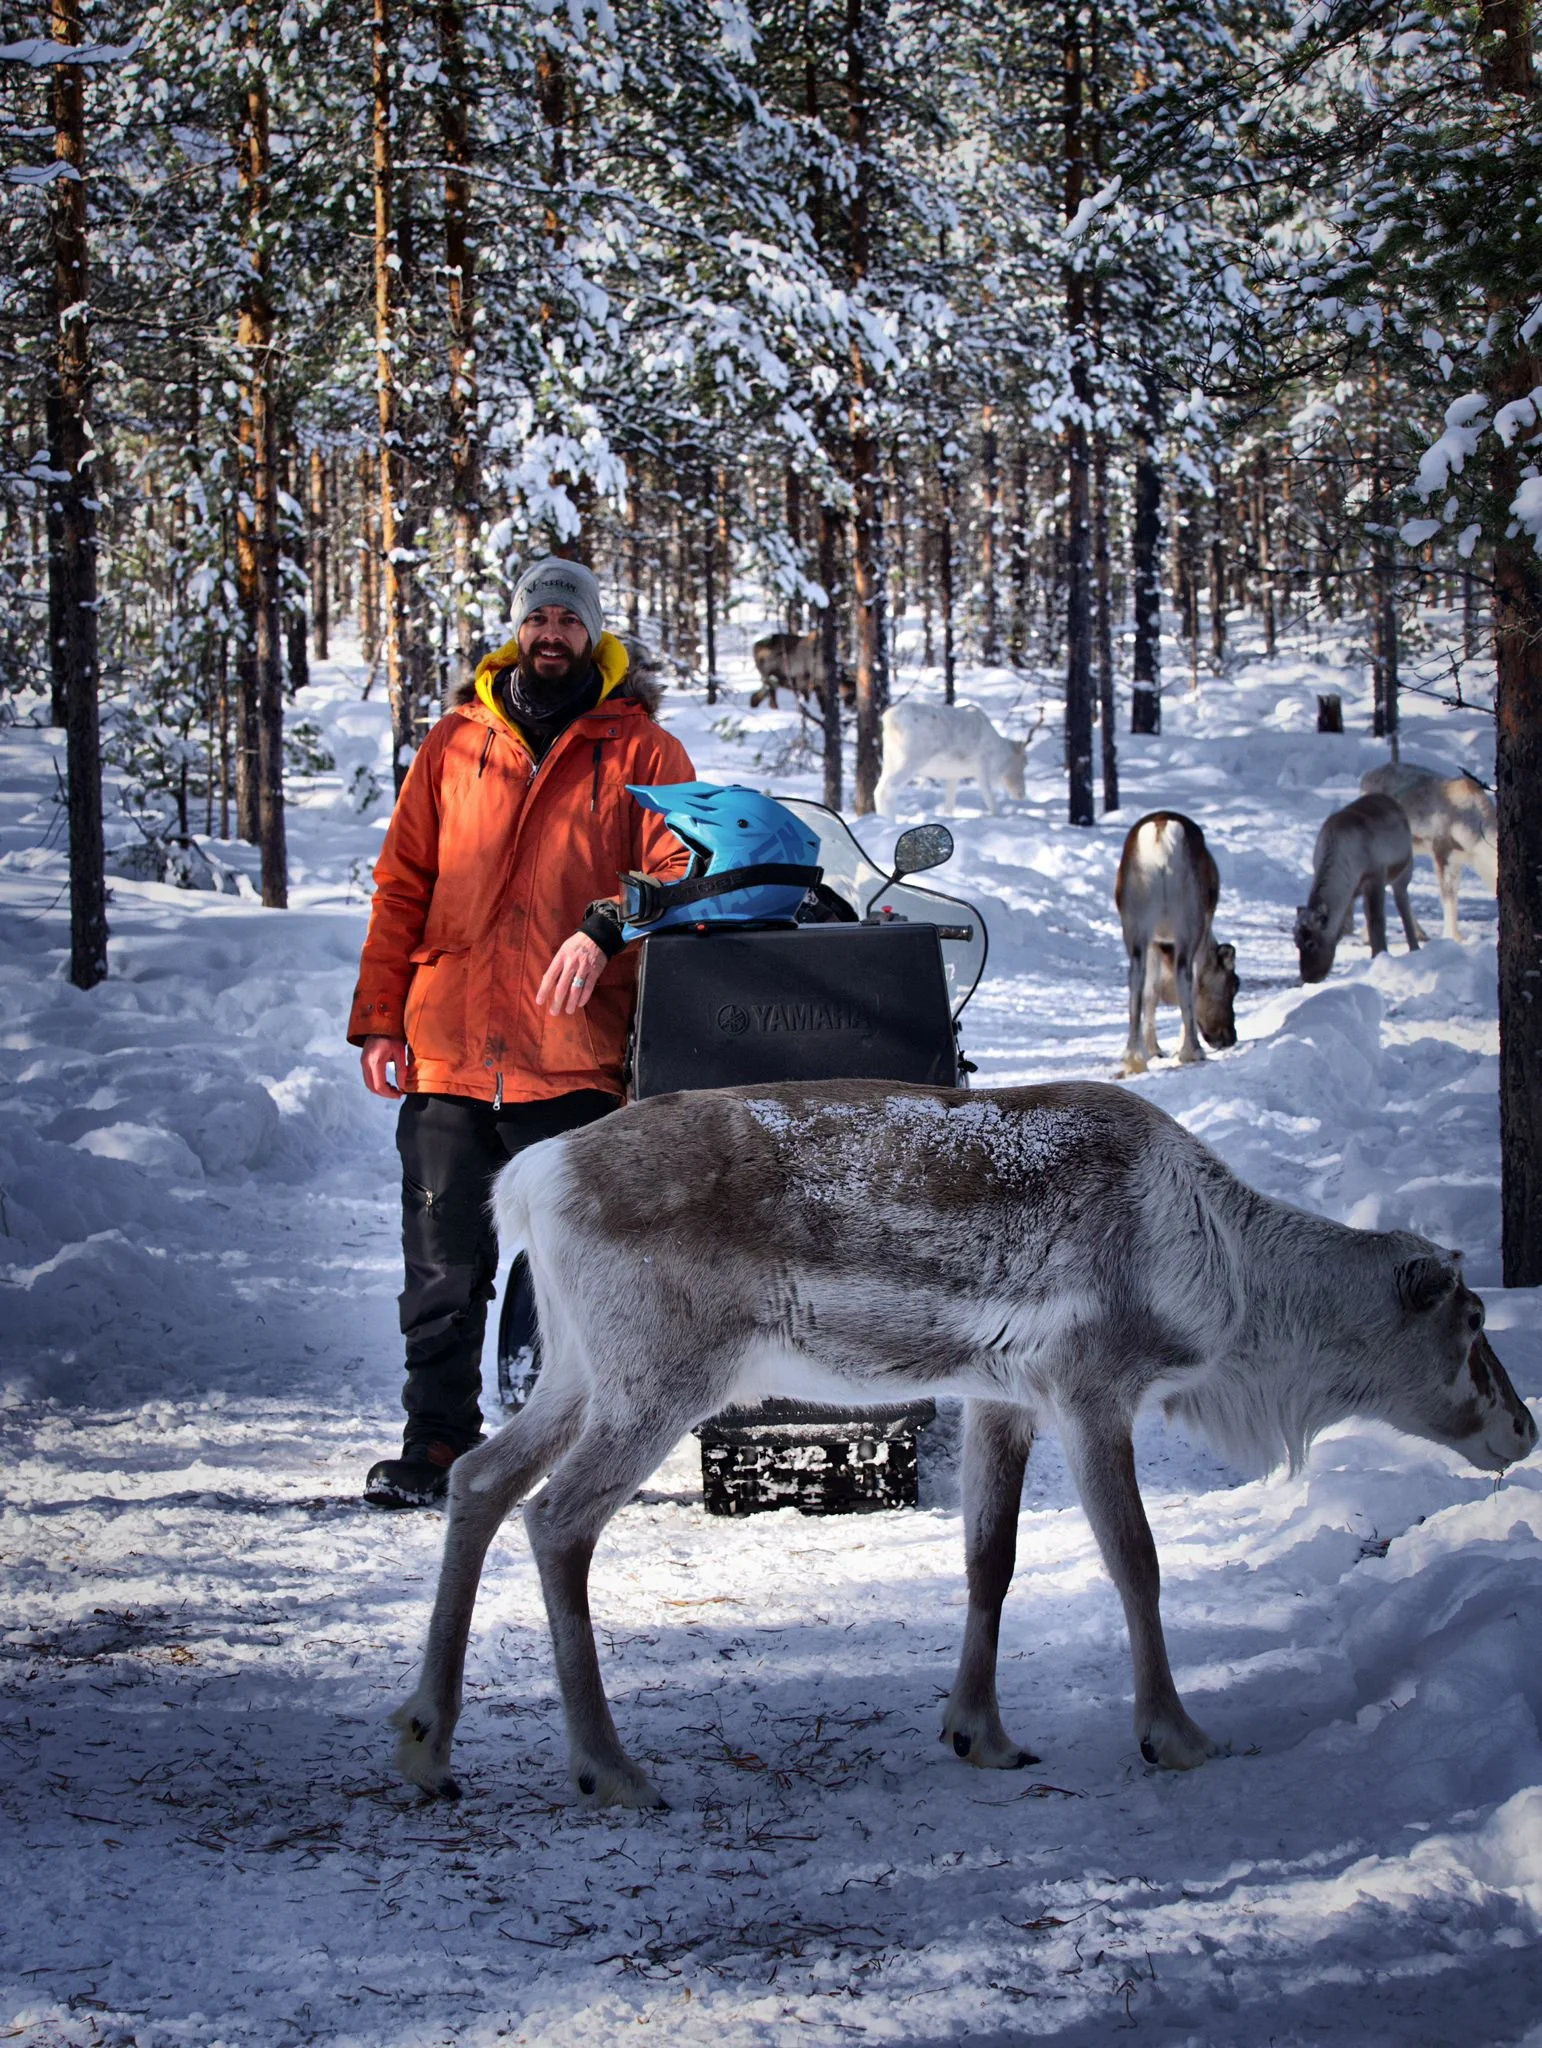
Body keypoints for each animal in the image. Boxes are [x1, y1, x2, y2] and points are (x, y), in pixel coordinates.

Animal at [391, 1079, 1535, 1811]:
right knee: (556, 1517)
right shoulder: (1091, 1385)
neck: (1232, 1290)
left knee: (480, 1476)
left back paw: (427, 1743)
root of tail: (527, 1181)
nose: (1523, 1428)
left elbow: (992, 1557)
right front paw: (1174, 1731)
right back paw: (607, 1767)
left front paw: (978, 1731)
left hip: (581, 1368)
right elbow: (1136, 1561)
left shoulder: (1002, 1397)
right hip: (658, 1375)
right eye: (1473, 1320)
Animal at [873, 700, 1028, 818]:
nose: (1022, 794)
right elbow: (990, 799)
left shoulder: (953, 776)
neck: (1000, 752)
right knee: (886, 790)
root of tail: (888, 720)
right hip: (909, 762)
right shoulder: (982, 769)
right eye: (1024, 763)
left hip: (890, 761)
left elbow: (950, 802)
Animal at [1115, 812, 1239, 1075]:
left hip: (1135, 927)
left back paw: (1133, 1058)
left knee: (1136, 980)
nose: (1229, 1037)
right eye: (1234, 985)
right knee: (1185, 977)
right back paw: (1192, 1051)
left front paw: (1153, 1049)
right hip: (1188, 924)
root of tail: (1161, 835)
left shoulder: (1154, 941)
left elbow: (1151, 992)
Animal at [1294, 792, 1421, 984]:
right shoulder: (1349, 892)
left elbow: (1377, 922)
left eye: (1311, 943)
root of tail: (1391, 800)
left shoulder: (1375, 877)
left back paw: (1415, 948)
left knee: (1404, 908)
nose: (1308, 977)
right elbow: (1344, 926)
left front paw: (1379, 956)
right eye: (1296, 943)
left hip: (1404, 873)